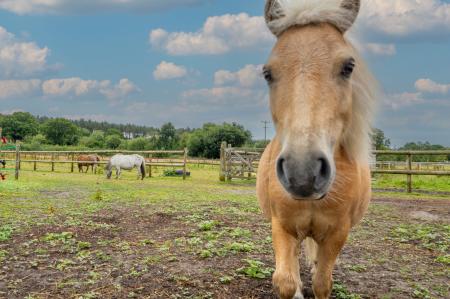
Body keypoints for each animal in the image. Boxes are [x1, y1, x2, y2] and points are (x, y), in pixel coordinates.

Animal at [255, 1, 378, 298]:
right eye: (267, 73)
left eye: (348, 66)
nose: (303, 172)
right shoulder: (282, 227)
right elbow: (286, 281)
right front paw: (297, 288)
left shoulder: (337, 234)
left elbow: (323, 282)